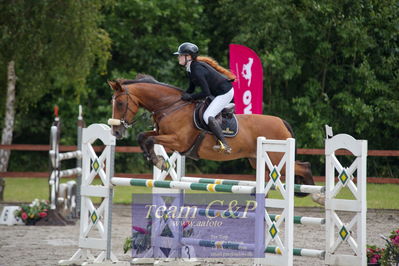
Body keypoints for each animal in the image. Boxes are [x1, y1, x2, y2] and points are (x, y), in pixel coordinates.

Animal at [107, 75, 324, 204]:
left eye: (120, 103)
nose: (116, 132)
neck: (171, 106)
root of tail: (281, 121)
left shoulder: (178, 141)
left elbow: (151, 140)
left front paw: (158, 161)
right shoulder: (163, 135)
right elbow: (143, 137)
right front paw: (154, 159)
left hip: (277, 159)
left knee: (304, 166)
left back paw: (317, 195)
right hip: (260, 161)